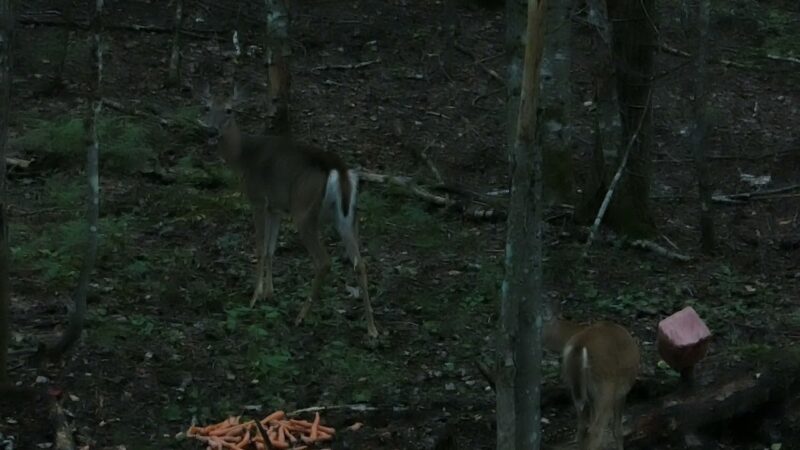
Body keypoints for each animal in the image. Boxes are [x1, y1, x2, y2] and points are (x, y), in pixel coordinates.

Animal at [197, 84, 378, 338]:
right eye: (206, 107)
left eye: (229, 110)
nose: (212, 131)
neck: (243, 156)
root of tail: (338, 168)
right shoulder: (276, 207)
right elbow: (271, 249)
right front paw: (269, 293)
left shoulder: (258, 199)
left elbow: (260, 247)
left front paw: (254, 297)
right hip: (347, 217)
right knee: (359, 263)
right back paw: (372, 329)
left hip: (304, 210)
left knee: (324, 262)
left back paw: (301, 317)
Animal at [540, 318, 640, 448]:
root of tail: (579, 346)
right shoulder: (621, 392)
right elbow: (617, 429)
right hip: (606, 388)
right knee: (595, 431)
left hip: (577, 390)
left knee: (582, 429)